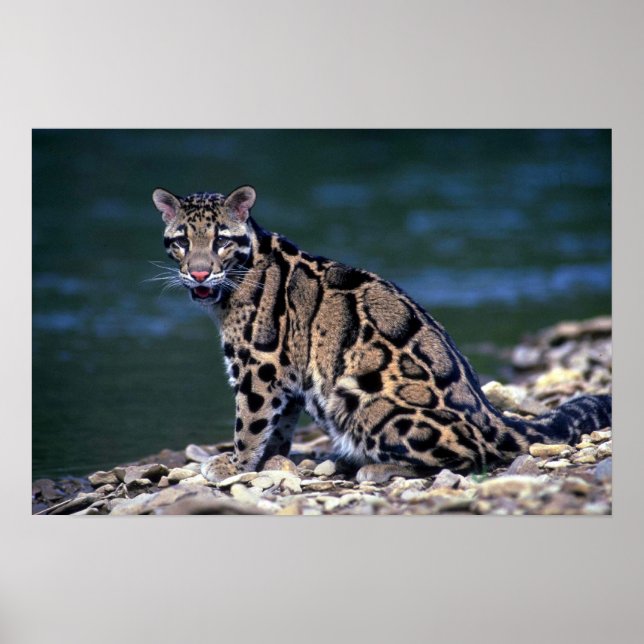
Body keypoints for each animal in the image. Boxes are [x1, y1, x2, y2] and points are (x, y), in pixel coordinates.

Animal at [151, 185, 612, 483]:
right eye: (181, 241)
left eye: (221, 241)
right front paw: (272, 461)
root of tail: (490, 415)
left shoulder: (261, 364)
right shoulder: (286, 374)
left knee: (473, 457)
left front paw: (233, 464)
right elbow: (279, 426)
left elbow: (250, 420)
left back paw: (375, 466)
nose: (198, 273)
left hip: (363, 399)